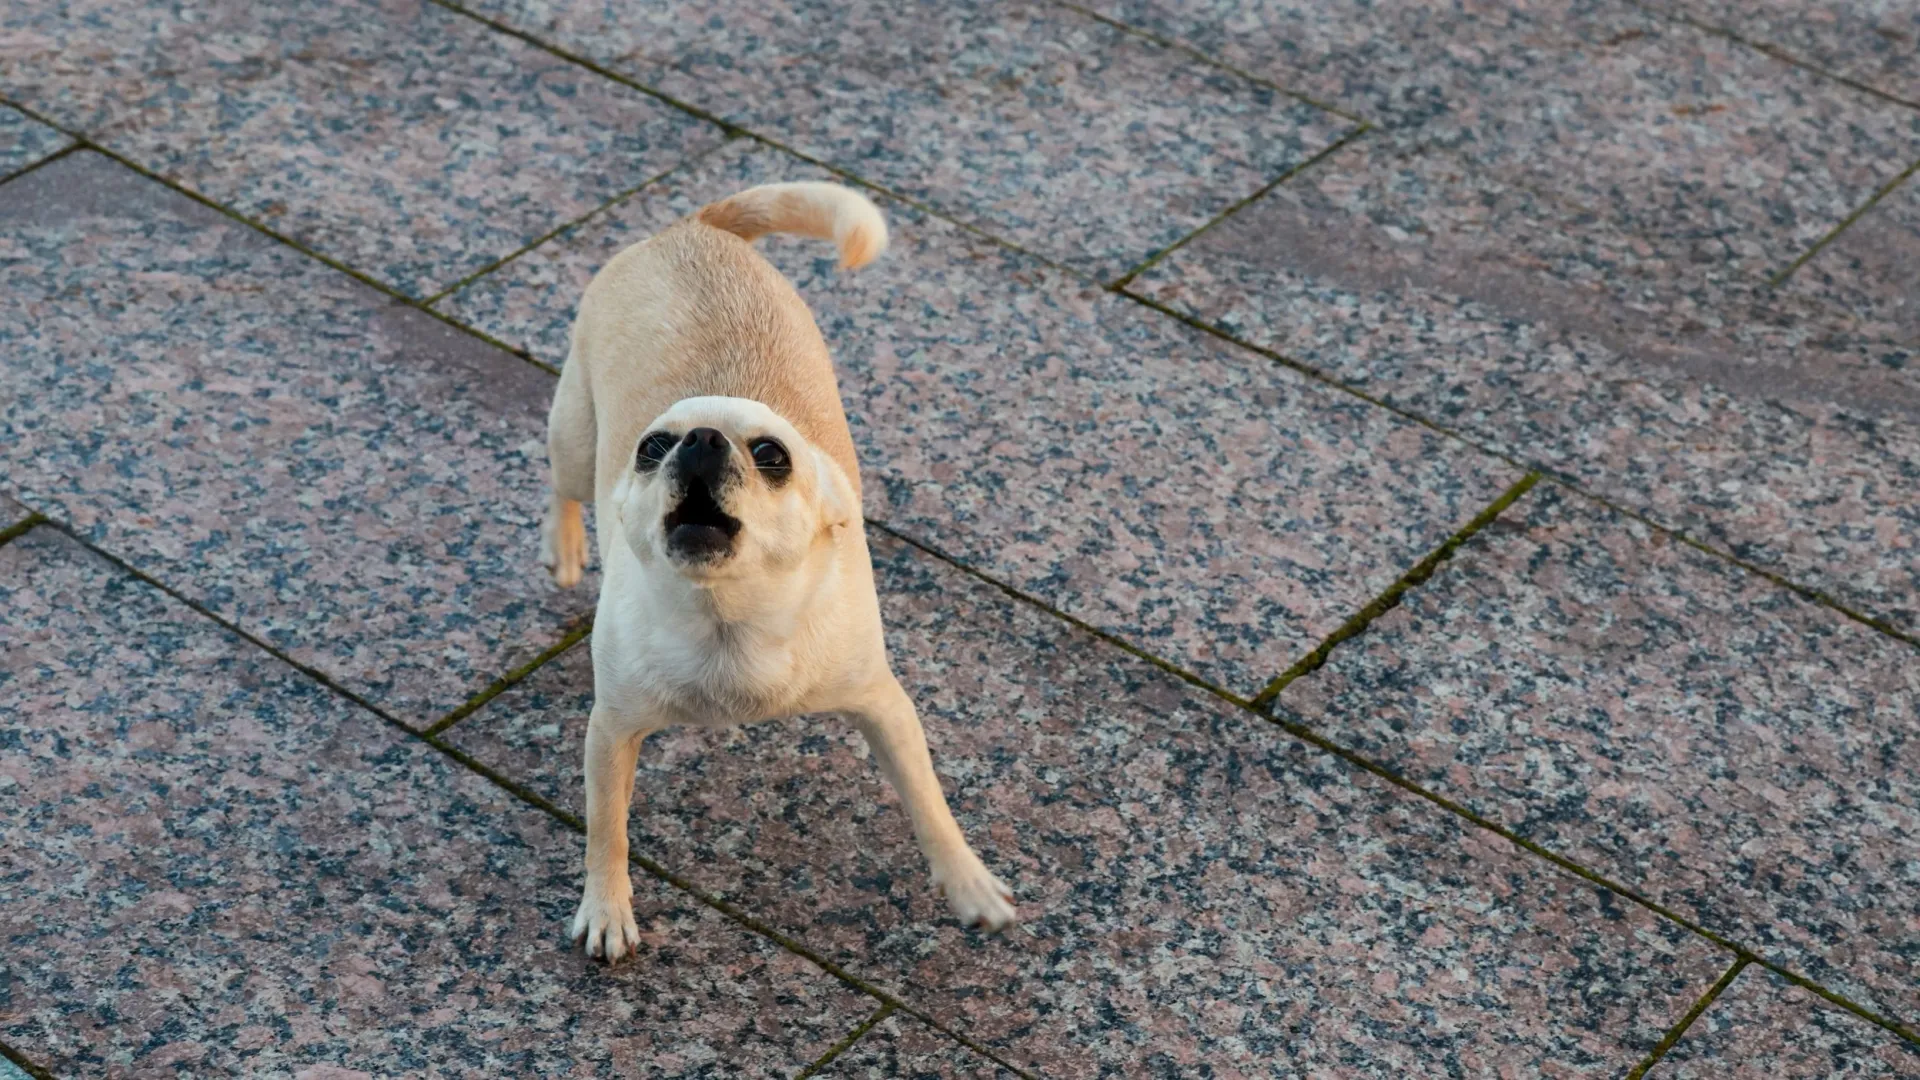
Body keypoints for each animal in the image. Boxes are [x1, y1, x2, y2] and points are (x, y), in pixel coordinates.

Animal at [541, 178, 1021, 957]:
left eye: (772, 456)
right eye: (651, 449)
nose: (700, 441)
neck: (727, 621)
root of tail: (695, 226)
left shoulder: (885, 708)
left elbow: (929, 803)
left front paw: (970, 886)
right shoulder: (612, 733)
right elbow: (605, 831)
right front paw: (607, 909)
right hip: (577, 442)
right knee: (563, 486)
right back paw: (564, 551)